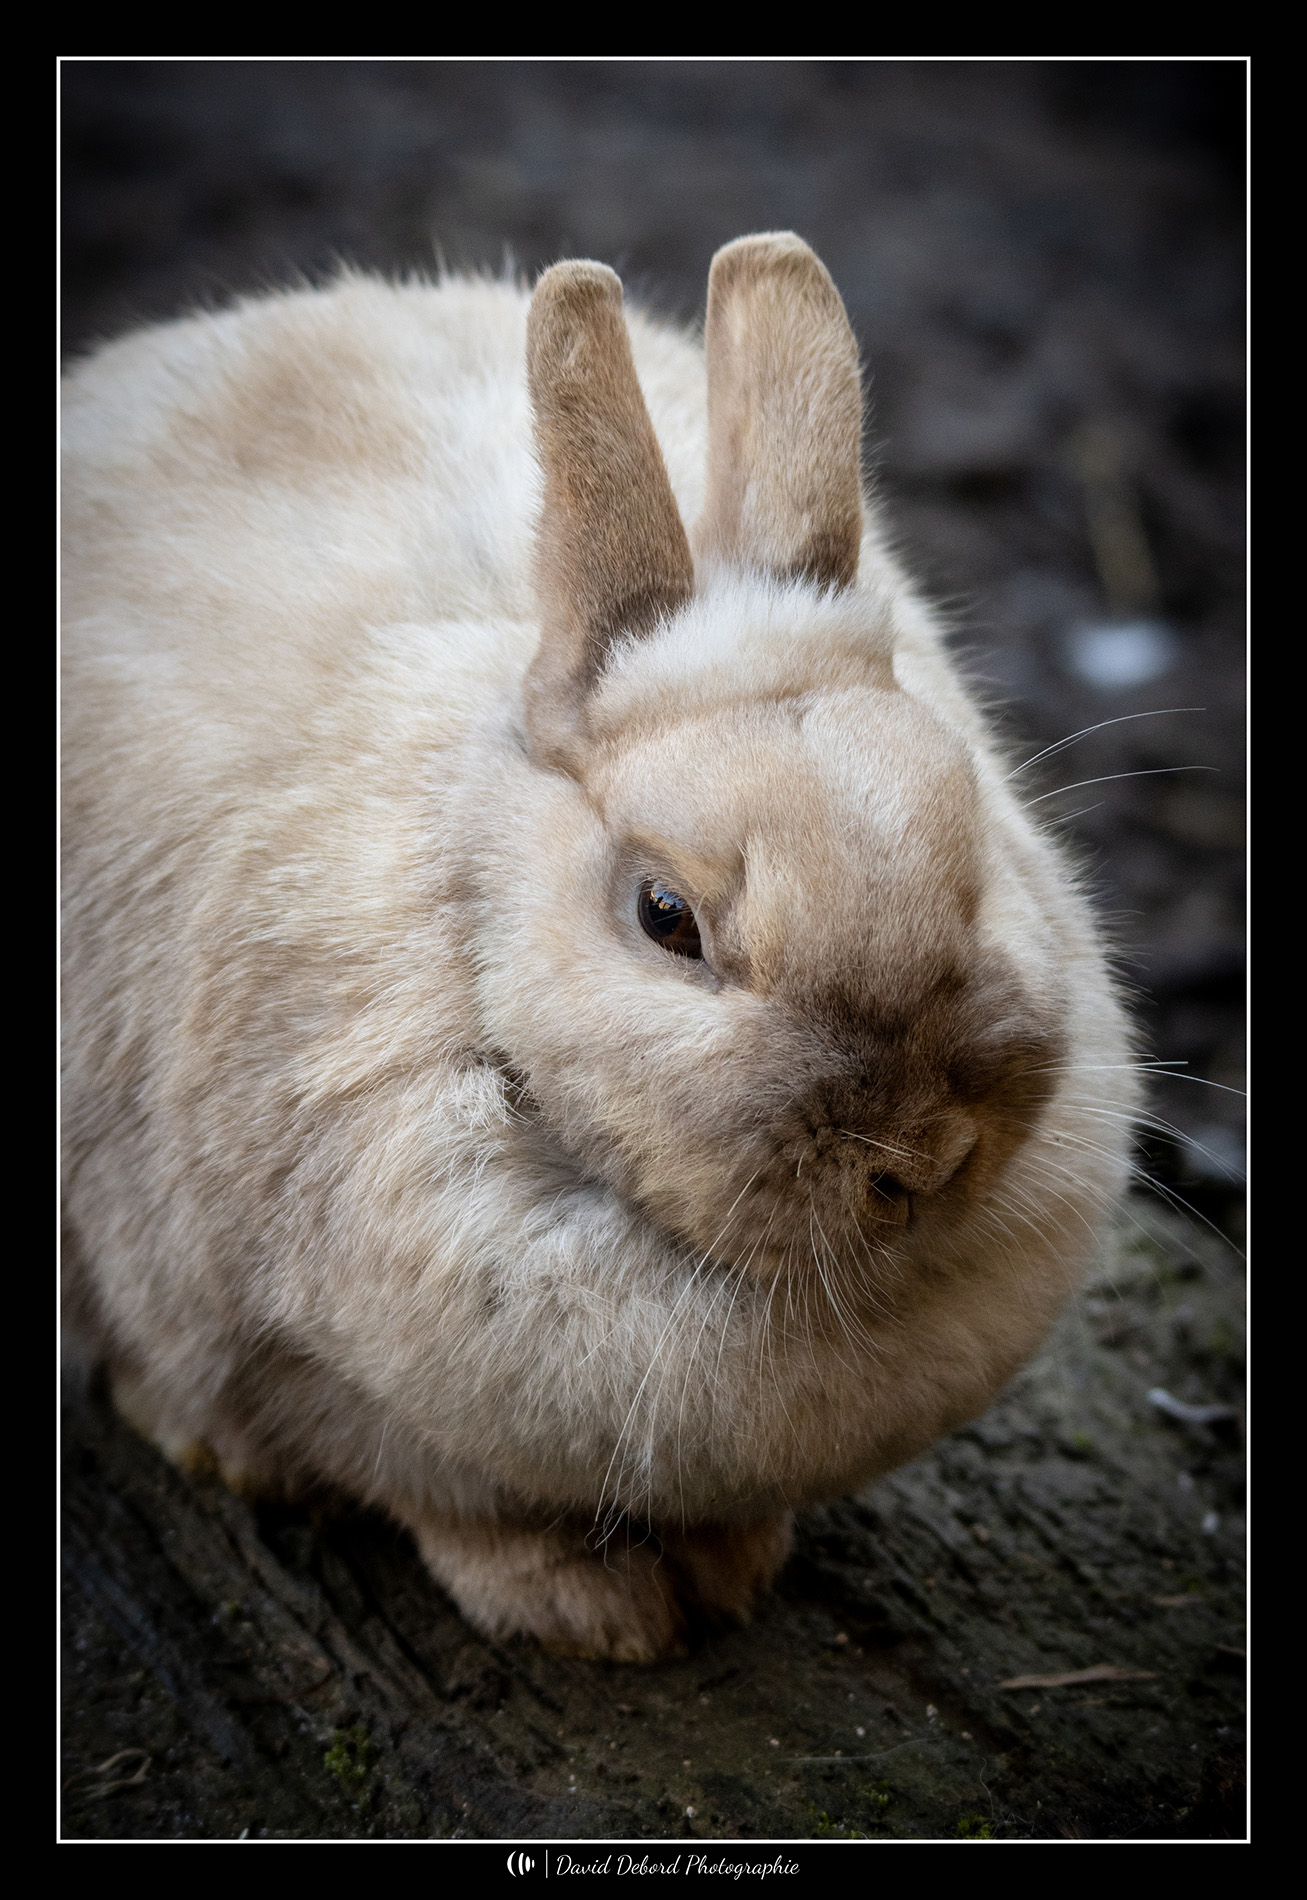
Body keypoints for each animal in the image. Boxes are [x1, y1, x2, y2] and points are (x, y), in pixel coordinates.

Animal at [62, 233, 1138, 1662]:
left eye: (972, 842)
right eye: (664, 917)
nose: (922, 1158)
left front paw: (734, 1566)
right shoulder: (316, 1369)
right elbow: (437, 1499)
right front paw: (591, 1616)